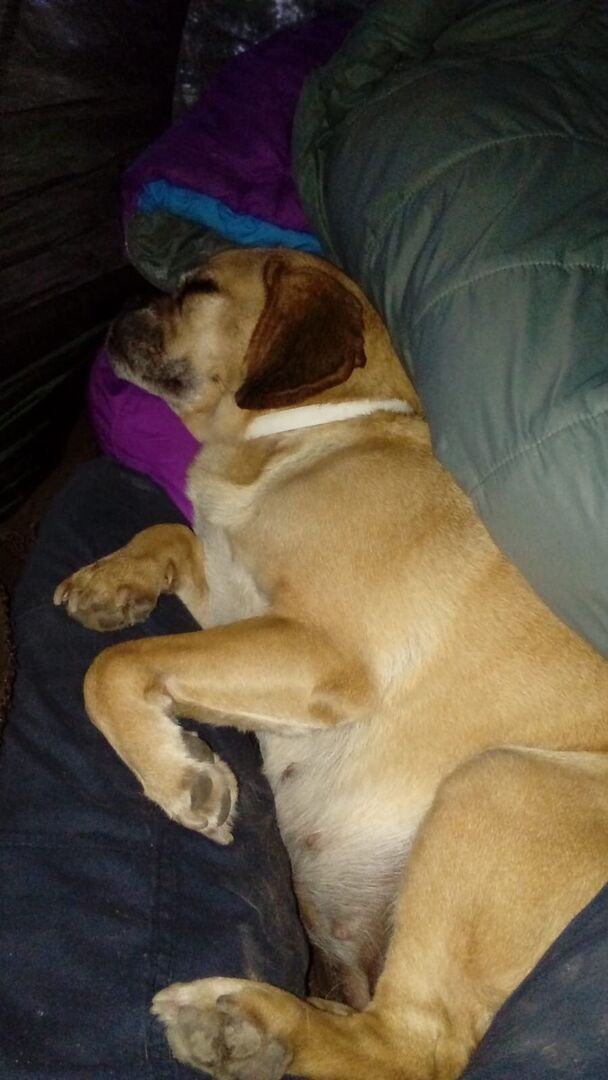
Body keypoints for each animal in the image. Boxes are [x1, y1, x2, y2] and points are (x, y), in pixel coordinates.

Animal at [54, 247, 608, 1080]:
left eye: (200, 288)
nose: (117, 316)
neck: (303, 431)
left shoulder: (321, 650)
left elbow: (114, 667)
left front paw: (178, 775)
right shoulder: (242, 607)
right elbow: (171, 536)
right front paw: (111, 582)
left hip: (496, 784)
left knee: (409, 1049)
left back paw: (250, 1022)